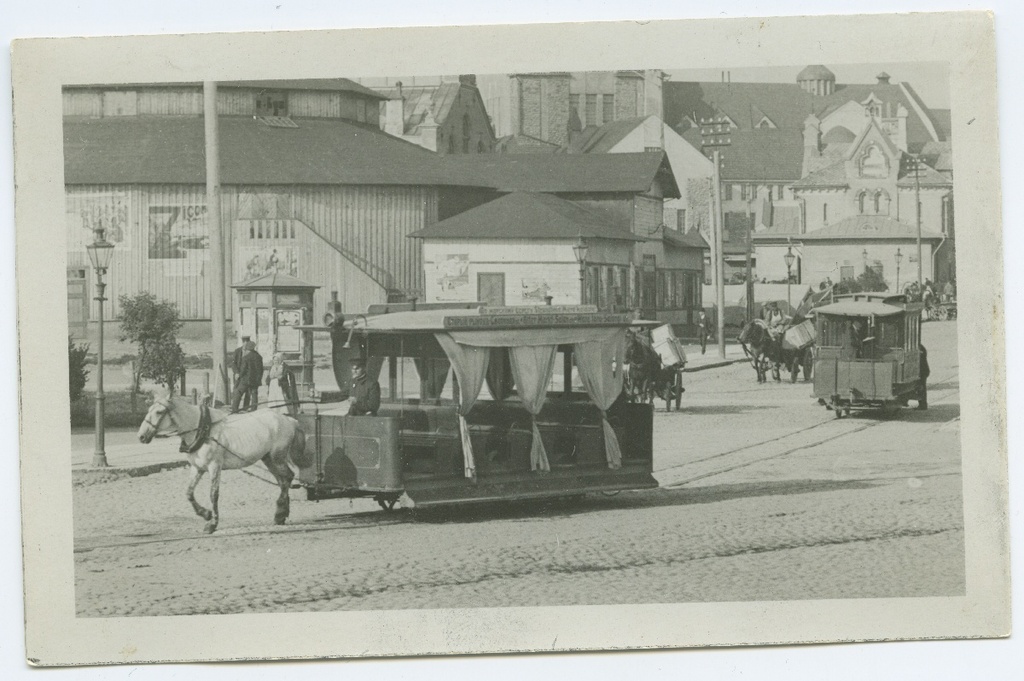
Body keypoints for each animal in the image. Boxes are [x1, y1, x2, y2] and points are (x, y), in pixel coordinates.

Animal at [138, 391, 309, 532]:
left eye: (159, 412)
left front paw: (212, 523)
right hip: (269, 459)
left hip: (276, 457)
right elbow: (189, 493)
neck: (202, 428)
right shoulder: (197, 468)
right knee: (283, 480)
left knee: (288, 477)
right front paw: (205, 513)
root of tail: (289, 419)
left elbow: (213, 494)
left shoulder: (215, 466)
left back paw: (280, 513)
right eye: (148, 410)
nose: (141, 436)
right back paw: (281, 513)